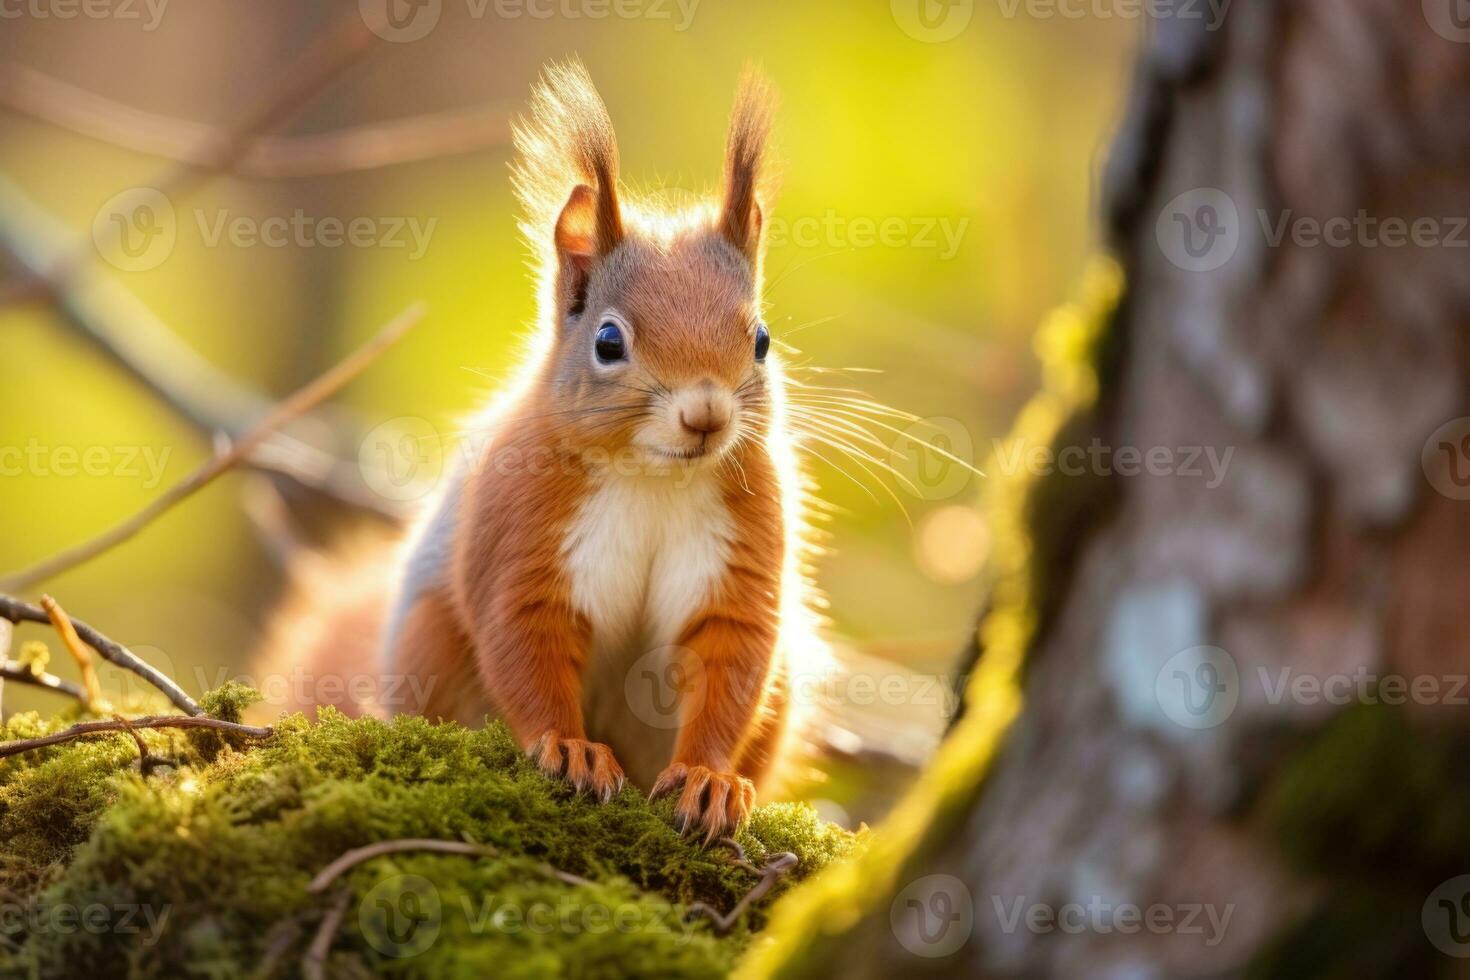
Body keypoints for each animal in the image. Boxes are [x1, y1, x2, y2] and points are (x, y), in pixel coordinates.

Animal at [261, 63, 829, 846]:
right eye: (609, 341)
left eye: (763, 339)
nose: (707, 416)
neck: (652, 477)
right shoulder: (521, 526)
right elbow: (525, 642)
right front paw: (569, 750)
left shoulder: (743, 541)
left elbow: (730, 660)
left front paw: (709, 779)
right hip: (430, 640)